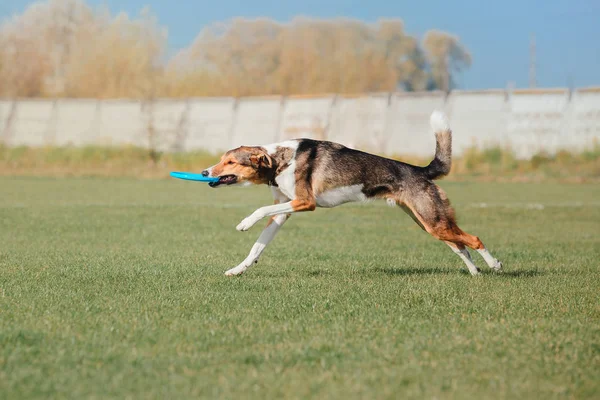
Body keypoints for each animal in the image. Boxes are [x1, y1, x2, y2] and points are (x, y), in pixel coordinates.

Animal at [204, 111, 504, 276]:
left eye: (230, 162)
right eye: (221, 160)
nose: (206, 172)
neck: (279, 161)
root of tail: (420, 171)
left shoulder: (305, 202)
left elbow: (259, 211)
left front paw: (244, 223)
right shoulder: (283, 212)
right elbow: (257, 248)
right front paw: (237, 270)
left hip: (432, 221)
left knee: (474, 239)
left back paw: (495, 265)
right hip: (429, 223)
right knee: (460, 246)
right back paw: (475, 273)